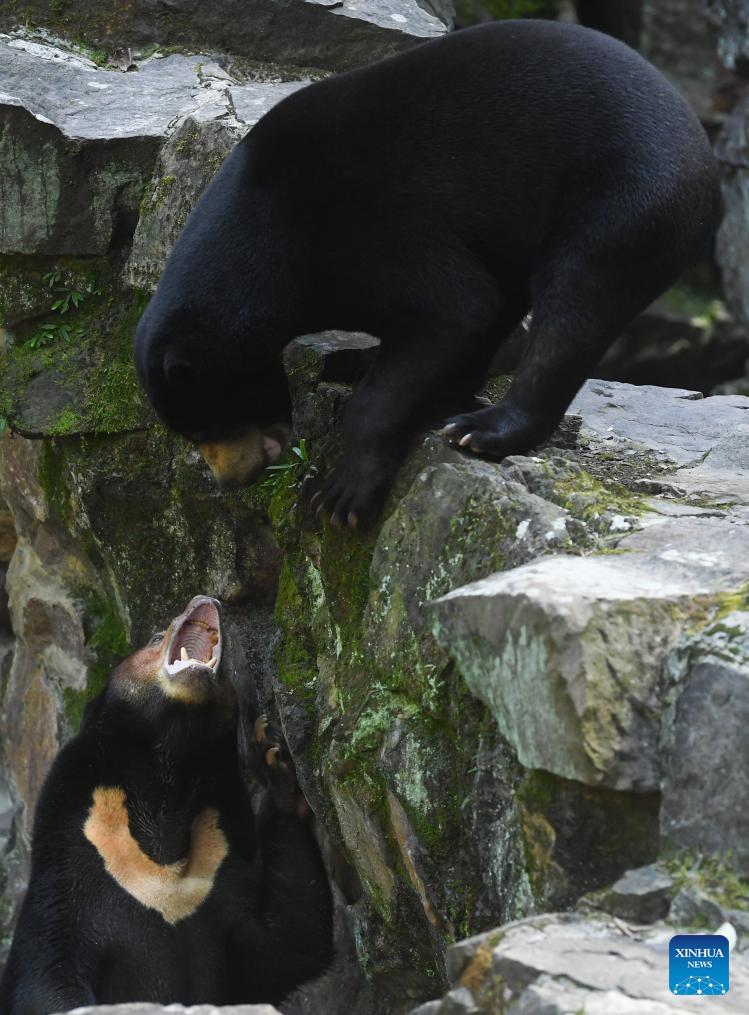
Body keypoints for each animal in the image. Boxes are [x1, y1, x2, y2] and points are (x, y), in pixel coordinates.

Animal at [0, 596, 333, 1014]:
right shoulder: (71, 872)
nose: (205, 599)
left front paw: (275, 763)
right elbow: (45, 971)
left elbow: (286, 947)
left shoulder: (216, 871)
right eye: (156, 637)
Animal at [134, 19, 721, 530]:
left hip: (626, 202)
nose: (231, 480)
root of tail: (706, 166)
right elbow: (472, 316)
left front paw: (341, 495)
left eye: (205, 423)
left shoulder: (368, 230)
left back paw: (482, 430)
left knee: (572, 309)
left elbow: (456, 308)